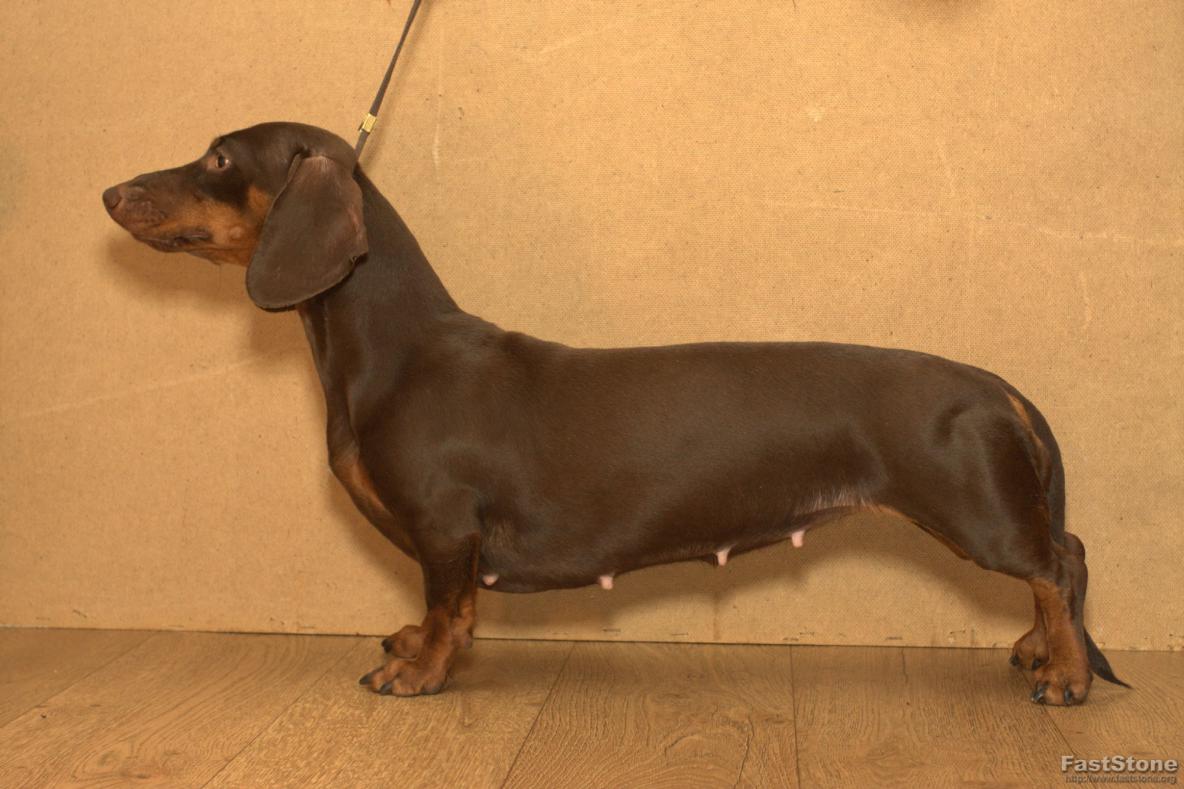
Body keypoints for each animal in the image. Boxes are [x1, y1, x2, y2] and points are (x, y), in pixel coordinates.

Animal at [103, 121, 1127, 703]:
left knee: (1060, 561)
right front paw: (410, 643)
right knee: (1058, 567)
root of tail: (993, 383)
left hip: (974, 510)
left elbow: (448, 608)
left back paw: (1067, 673)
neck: (393, 348)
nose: (110, 190)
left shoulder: (444, 529)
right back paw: (1039, 650)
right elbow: (436, 609)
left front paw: (418, 670)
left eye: (220, 156)